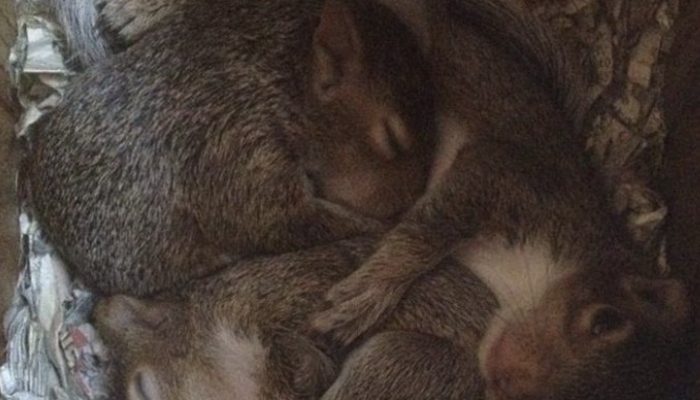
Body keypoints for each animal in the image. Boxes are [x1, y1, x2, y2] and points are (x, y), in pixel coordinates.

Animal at [311, 0, 695, 398]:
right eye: (605, 321)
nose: (503, 377)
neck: (521, 283)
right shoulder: (507, 176)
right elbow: (423, 236)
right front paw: (360, 301)